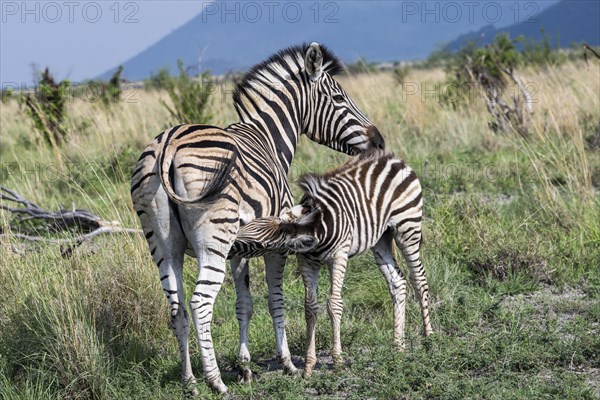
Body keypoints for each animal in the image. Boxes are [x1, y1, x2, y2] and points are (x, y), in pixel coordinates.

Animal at [131, 43, 384, 394]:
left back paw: (190, 381)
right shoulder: (276, 243)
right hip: (213, 242)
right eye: (338, 98)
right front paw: (288, 364)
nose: (379, 141)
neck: (268, 138)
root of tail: (166, 145)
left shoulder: (239, 249)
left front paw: (245, 367)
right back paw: (215, 382)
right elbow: (276, 301)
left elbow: (245, 304)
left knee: (176, 308)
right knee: (199, 304)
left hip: (163, 244)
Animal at [237, 149, 434, 376]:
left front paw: (337, 360)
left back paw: (429, 338)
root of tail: (394, 159)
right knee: (398, 283)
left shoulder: (339, 256)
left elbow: (334, 303)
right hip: (381, 238)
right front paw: (309, 366)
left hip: (407, 228)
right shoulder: (306, 263)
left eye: (258, 243)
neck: (317, 228)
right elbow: (310, 308)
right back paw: (398, 346)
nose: (228, 243)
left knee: (419, 279)